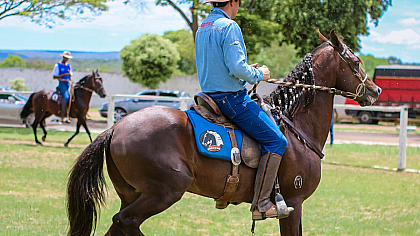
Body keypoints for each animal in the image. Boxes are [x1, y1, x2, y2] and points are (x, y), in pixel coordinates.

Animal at [67, 30, 382, 235]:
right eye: (356, 62)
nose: (375, 90)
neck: (297, 127)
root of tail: (115, 128)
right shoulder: (292, 204)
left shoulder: (296, 206)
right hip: (164, 192)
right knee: (126, 222)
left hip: (133, 193)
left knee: (119, 225)